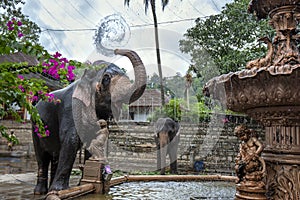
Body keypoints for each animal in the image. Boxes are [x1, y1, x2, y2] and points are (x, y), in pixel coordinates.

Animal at [31, 48, 146, 194]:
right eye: (106, 78)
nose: (116, 50)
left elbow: (93, 138)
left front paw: (83, 184)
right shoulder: (71, 108)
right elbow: (71, 140)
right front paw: (58, 190)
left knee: (55, 155)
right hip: (35, 127)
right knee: (42, 156)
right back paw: (41, 192)